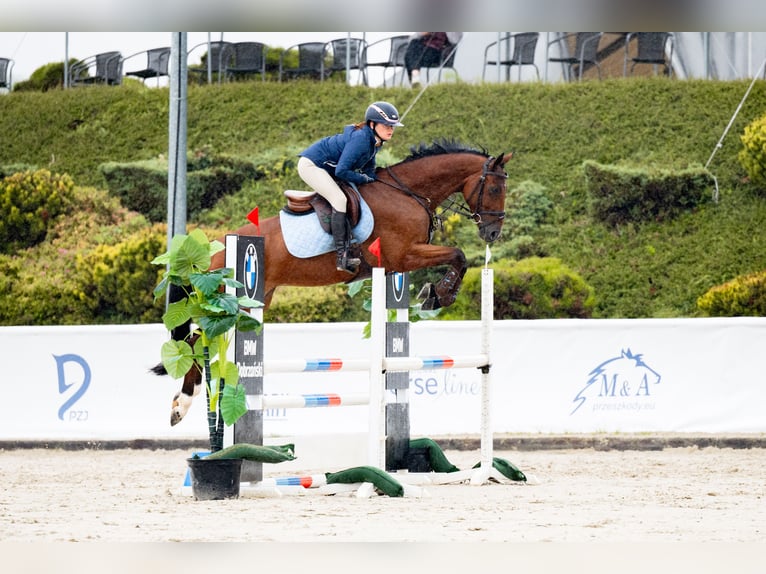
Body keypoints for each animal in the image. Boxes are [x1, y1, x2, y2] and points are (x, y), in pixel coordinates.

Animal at [160, 141, 512, 428]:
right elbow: (458, 255)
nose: (493, 233)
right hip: (225, 304)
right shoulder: (403, 256)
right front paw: (439, 295)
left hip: (252, 303)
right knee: (196, 341)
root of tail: (212, 249)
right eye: (495, 189)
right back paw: (181, 405)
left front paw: (436, 294)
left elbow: (457, 257)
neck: (406, 192)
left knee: (202, 341)